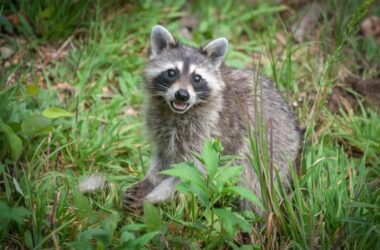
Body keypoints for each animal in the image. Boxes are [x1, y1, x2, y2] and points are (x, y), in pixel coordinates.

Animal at [124, 24, 302, 211]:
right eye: (171, 73)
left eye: (197, 78)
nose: (182, 95)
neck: (177, 113)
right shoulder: (160, 125)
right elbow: (163, 157)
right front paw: (150, 181)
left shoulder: (208, 134)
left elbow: (192, 173)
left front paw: (155, 196)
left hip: (275, 155)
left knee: (253, 183)